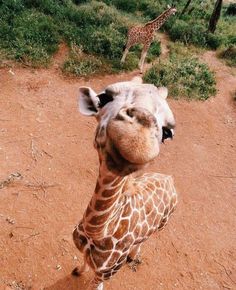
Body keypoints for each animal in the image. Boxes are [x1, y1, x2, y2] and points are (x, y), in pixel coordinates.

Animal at [72, 77, 177, 290]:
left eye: (167, 132)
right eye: (104, 98)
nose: (136, 141)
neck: (98, 233)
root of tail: (169, 178)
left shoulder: (107, 273)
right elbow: (84, 261)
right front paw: (78, 270)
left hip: (163, 224)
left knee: (146, 239)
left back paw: (134, 256)